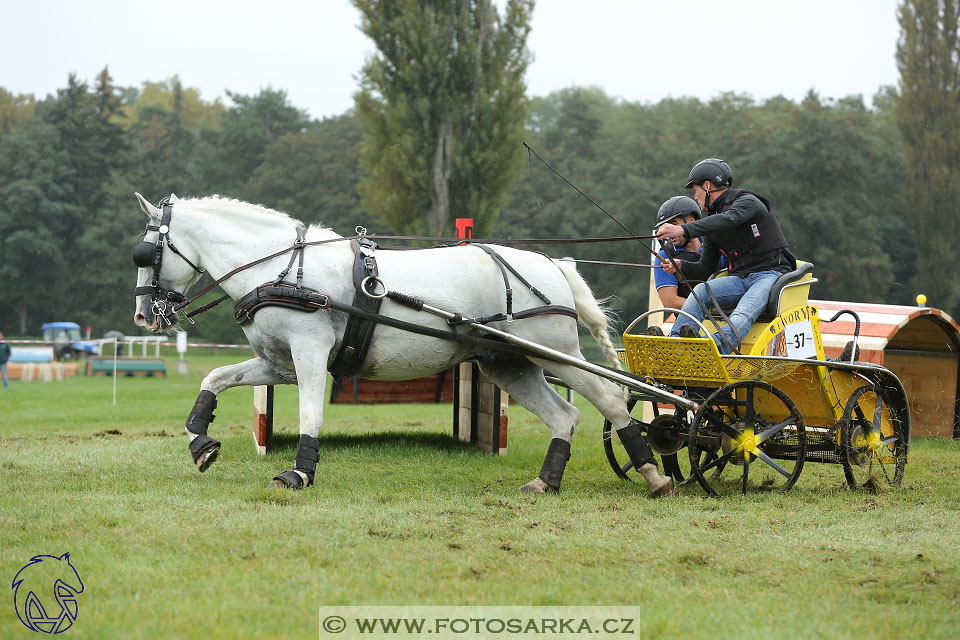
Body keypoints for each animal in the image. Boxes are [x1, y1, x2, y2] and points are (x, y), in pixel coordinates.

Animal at [131, 192, 676, 498]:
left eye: (146, 252)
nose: (143, 316)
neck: (283, 268)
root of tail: (552, 264)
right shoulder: (278, 362)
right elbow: (214, 378)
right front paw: (201, 443)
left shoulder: (308, 351)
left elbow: (311, 413)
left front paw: (300, 473)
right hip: (508, 364)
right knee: (565, 416)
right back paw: (546, 482)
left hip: (552, 354)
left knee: (611, 401)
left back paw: (655, 475)